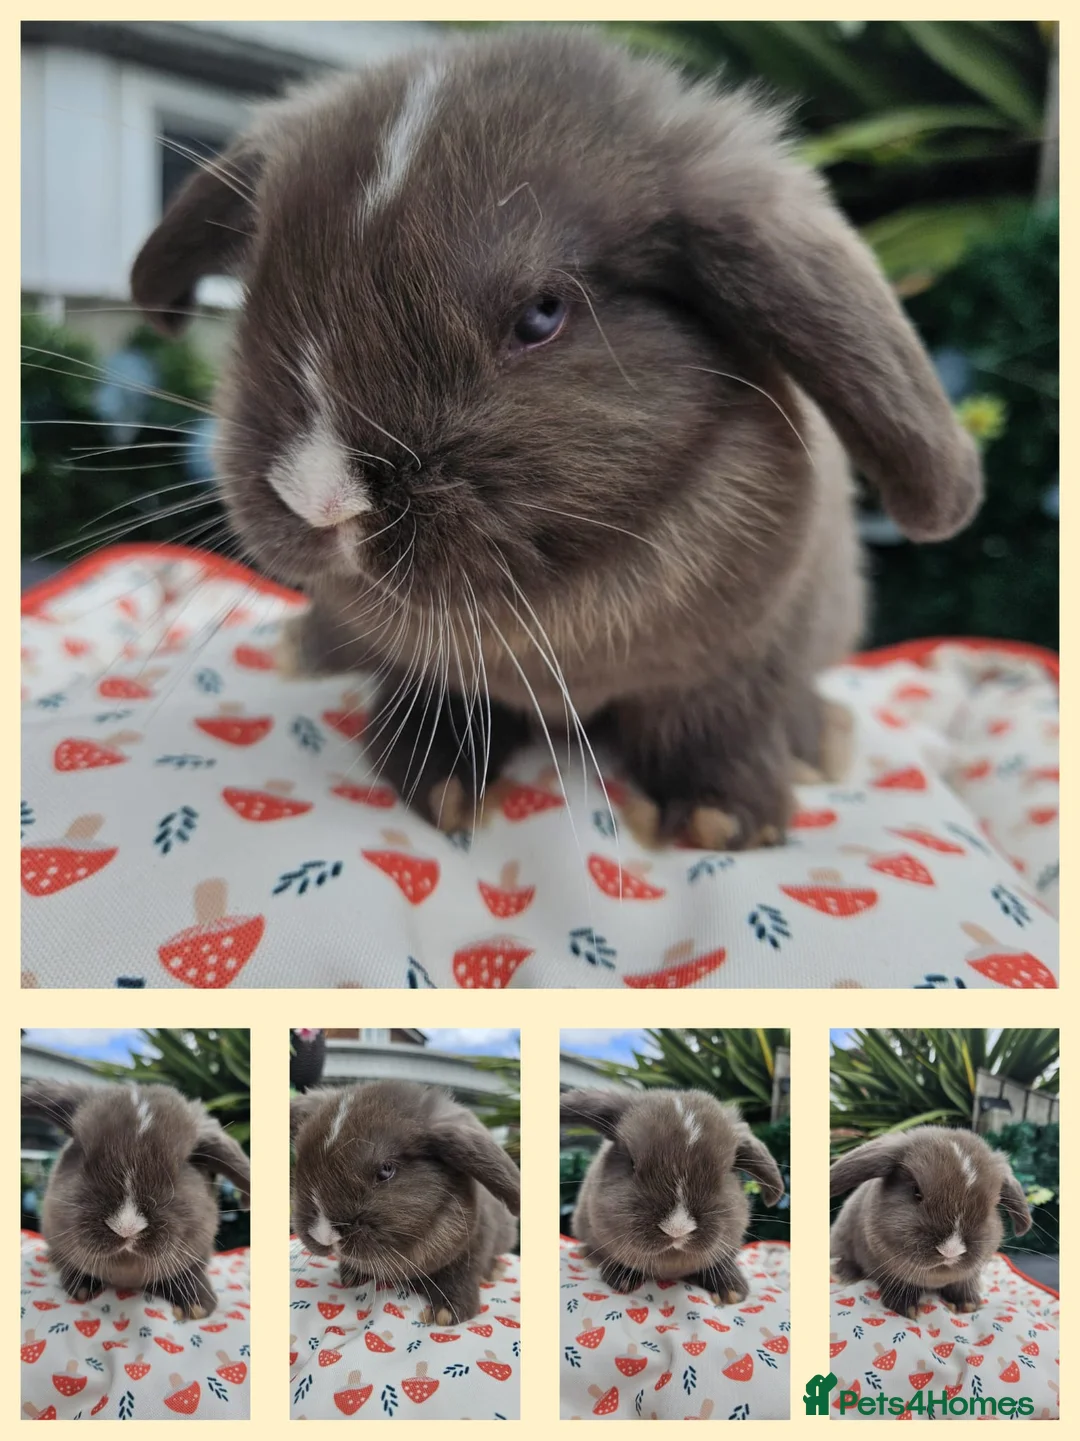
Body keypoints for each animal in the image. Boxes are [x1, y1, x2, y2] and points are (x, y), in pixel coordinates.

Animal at [130, 26, 982, 849]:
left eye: (541, 314)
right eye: (256, 290)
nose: (321, 498)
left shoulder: (733, 664)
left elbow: (714, 725)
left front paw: (726, 820)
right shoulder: (435, 667)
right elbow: (436, 697)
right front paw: (434, 782)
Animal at [290, 1079, 519, 1324]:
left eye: (386, 1170)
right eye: (301, 1161)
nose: (324, 1235)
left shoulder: (474, 1246)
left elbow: (460, 1275)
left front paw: (447, 1314)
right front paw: (350, 1275)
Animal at [829, 1125, 1032, 1319]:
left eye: (990, 1208)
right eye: (916, 1192)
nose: (951, 1250)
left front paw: (968, 1304)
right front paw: (906, 1307)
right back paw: (845, 1273)